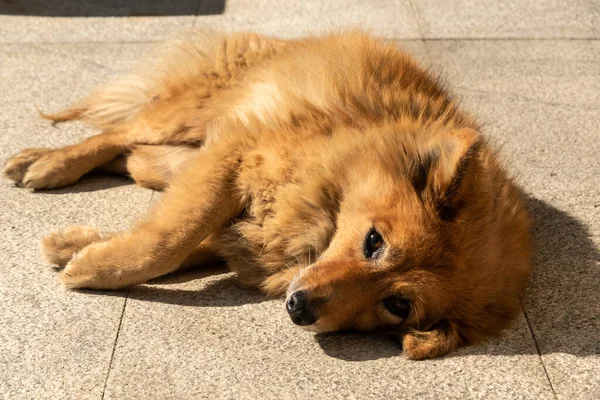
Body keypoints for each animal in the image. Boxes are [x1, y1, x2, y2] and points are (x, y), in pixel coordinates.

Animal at [3, 28, 528, 360]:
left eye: (398, 306)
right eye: (373, 241)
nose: (300, 308)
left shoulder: (246, 215)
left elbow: (190, 244)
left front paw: (79, 247)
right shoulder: (239, 151)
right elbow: (170, 238)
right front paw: (90, 265)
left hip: (174, 153)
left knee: (136, 155)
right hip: (192, 114)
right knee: (117, 132)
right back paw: (46, 163)